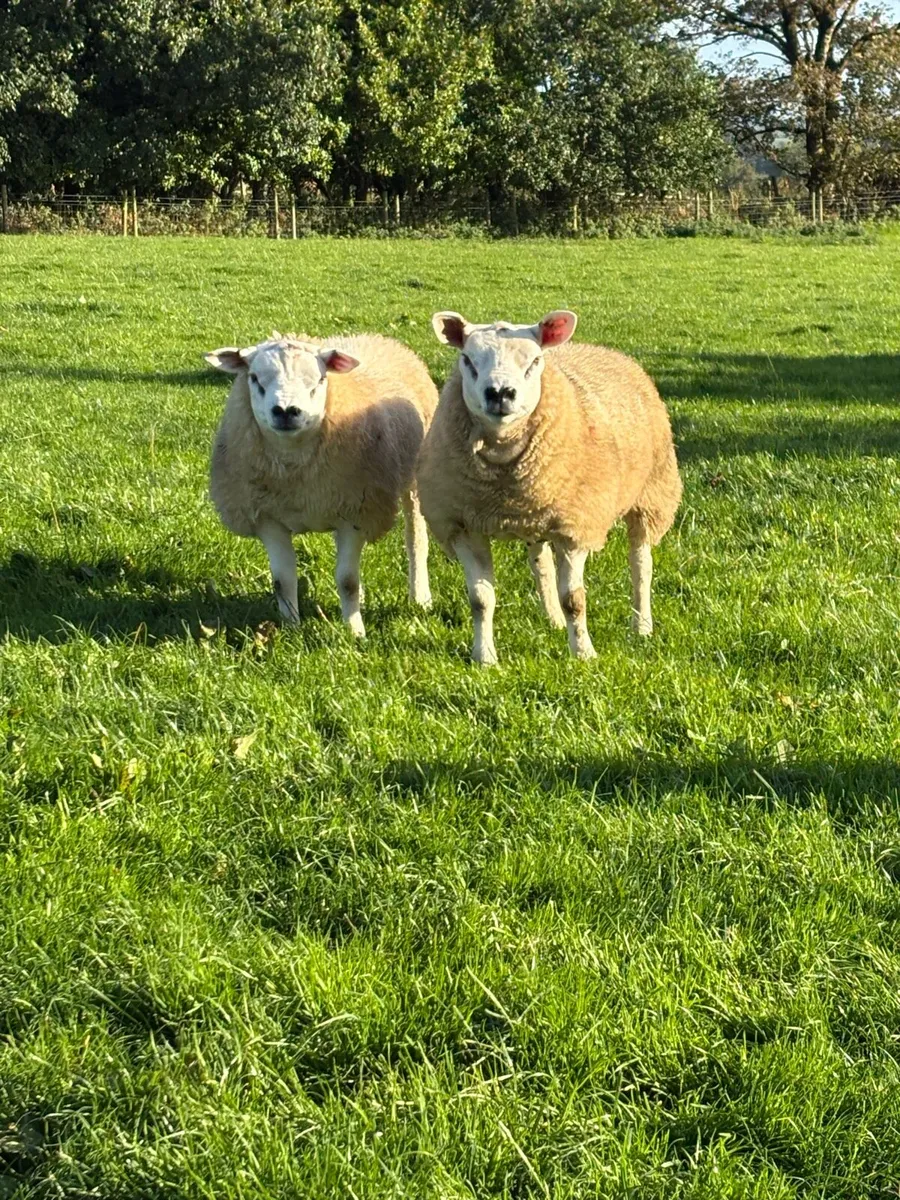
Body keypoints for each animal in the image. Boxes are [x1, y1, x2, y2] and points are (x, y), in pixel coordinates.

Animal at [204, 331, 437, 636]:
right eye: (254, 378)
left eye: (319, 379)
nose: (286, 411)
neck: (293, 466)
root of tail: (373, 336)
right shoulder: (269, 519)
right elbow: (283, 580)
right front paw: (292, 629)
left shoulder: (356, 515)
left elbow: (347, 580)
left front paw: (355, 633)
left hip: (414, 482)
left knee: (416, 540)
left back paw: (420, 597)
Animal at [416, 310, 682, 664]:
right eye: (467, 359)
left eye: (535, 361)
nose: (499, 393)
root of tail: (599, 348)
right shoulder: (463, 524)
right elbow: (480, 599)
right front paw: (484, 657)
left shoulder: (575, 527)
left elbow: (575, 599)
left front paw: (583, 653)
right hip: (538, 517)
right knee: (540, 564)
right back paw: (553, 619)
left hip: (651, 495)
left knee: (641, 565)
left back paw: (641, 626)